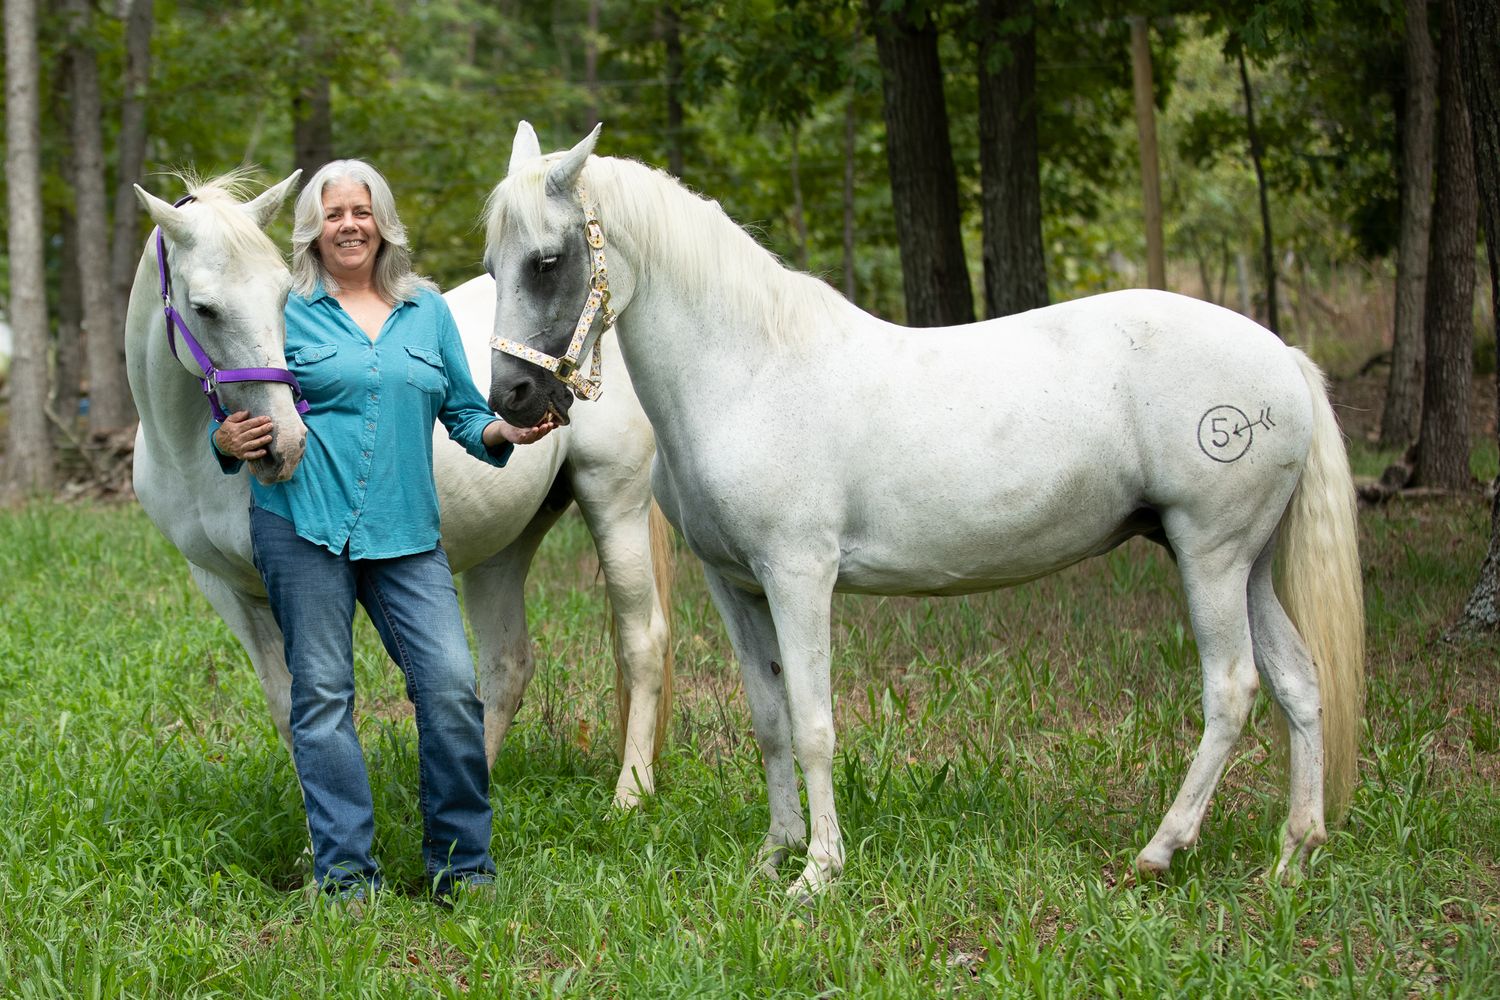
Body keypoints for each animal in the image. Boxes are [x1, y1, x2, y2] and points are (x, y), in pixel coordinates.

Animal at [482, 124, 1365, 897]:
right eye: (492, 265)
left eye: (549, 260)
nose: (511, 398)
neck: (752, 371)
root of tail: (1282, 357)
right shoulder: (736, 586)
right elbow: (769, 717)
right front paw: (774, 855)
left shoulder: (800, 576)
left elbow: (813, 721)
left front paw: (817, 874)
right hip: (1246, 565)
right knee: (1298, 683)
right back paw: (1292, 857)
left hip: (1210, 556)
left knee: (1232, 689)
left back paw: (1161, 850)